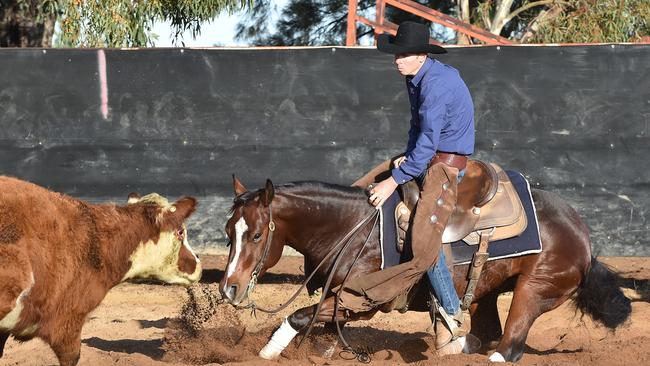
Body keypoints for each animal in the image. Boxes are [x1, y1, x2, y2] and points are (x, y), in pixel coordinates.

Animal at [218, 176, 628, 362]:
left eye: (256, 234)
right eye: (227, 232)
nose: (229, 288)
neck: (352, 229)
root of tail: (583, 238)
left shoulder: (362, 301)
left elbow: (298, 317)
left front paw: (265, 354)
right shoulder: (340, 301)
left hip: (535, 288)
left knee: (508, 346)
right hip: (488, 292)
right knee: (484, 333)